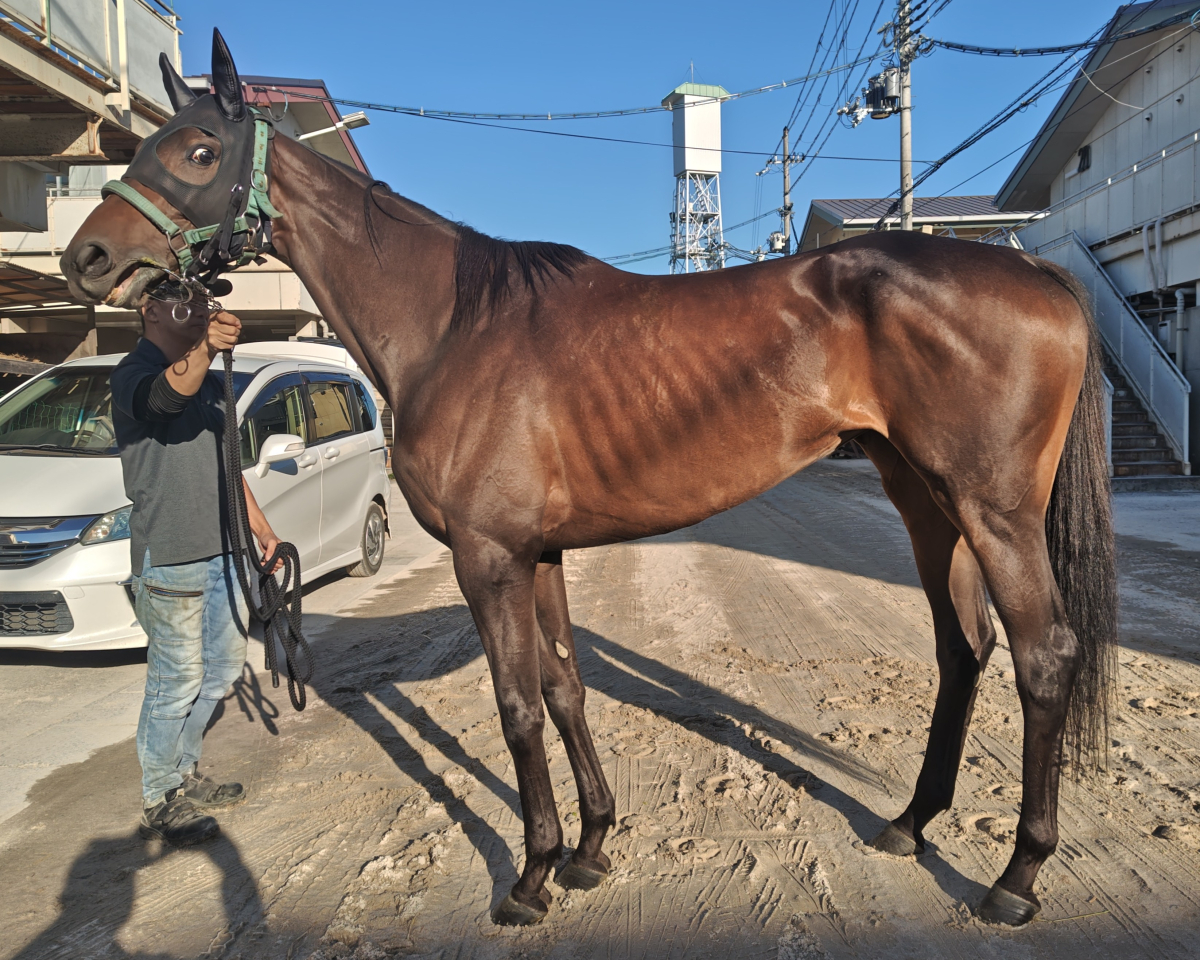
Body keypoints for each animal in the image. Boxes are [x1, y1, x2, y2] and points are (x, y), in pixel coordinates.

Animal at [61, 30, 1117, 929]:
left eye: (199, 150)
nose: (88, 256)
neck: (453, 327)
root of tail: (1039, 276)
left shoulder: (489, 557)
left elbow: (518, 707)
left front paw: (530, 875)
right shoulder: (539, 553)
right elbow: (565, 689)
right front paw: (592, 846)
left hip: (993, 509)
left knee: (1043, 655)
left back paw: (1017, 876)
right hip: (925, 500)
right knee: (962, 649)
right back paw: (909, 824)